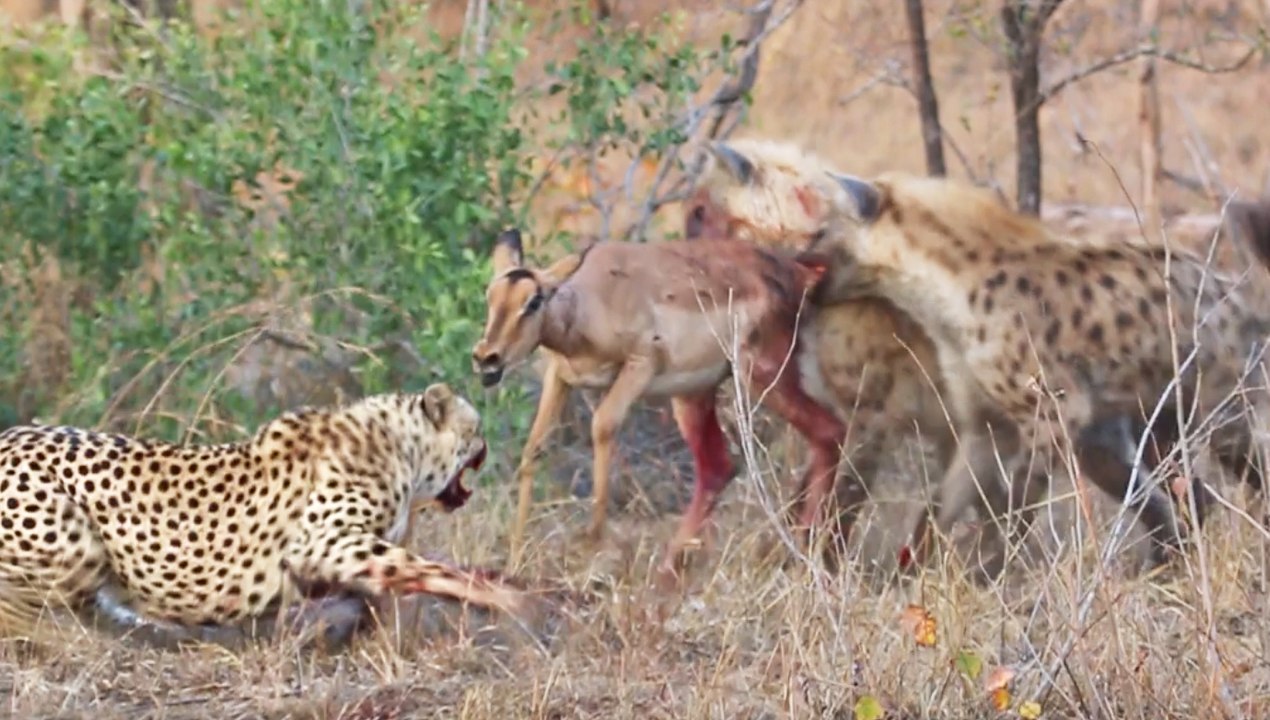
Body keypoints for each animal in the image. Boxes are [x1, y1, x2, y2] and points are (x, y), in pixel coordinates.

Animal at [471, 228, 846, 582]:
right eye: (490, 295)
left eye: (533, 301)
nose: (486, 358)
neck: (591, 303)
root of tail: (797, 272)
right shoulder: (559, 377)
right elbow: (533, 449)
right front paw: (515, 559)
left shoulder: (639, 366)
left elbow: (602, 426)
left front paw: (590, 543)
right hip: (694, 395)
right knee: (718, 467)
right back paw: (668, 571)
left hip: (761, 376)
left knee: (829, 431)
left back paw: (804, 560)